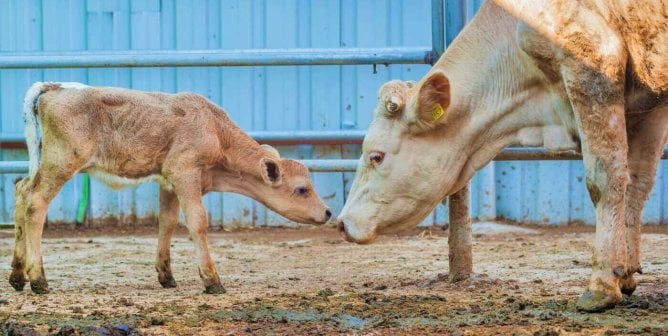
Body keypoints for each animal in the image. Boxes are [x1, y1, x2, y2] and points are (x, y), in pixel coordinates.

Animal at [9, 82, 332, 296]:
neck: (215, 129)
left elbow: (167, 222)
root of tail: (57, 87)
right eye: (302, 189)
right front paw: (212, 280)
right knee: (35, 203)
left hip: (45, 164)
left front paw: (166, 275)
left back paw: (17, 275)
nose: (328, 212)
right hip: (61, 162)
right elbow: (197, 221)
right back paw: (38, 280)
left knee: (21, 191)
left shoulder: (168, 182)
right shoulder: (185, 172)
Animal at [340, 0, 668, 312]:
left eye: (376, 156)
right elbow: (636, 184)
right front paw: (625, 275)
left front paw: (602, 285)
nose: (342, 223)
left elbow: (604, 180)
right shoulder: (649, 106)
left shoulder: (592, 65)